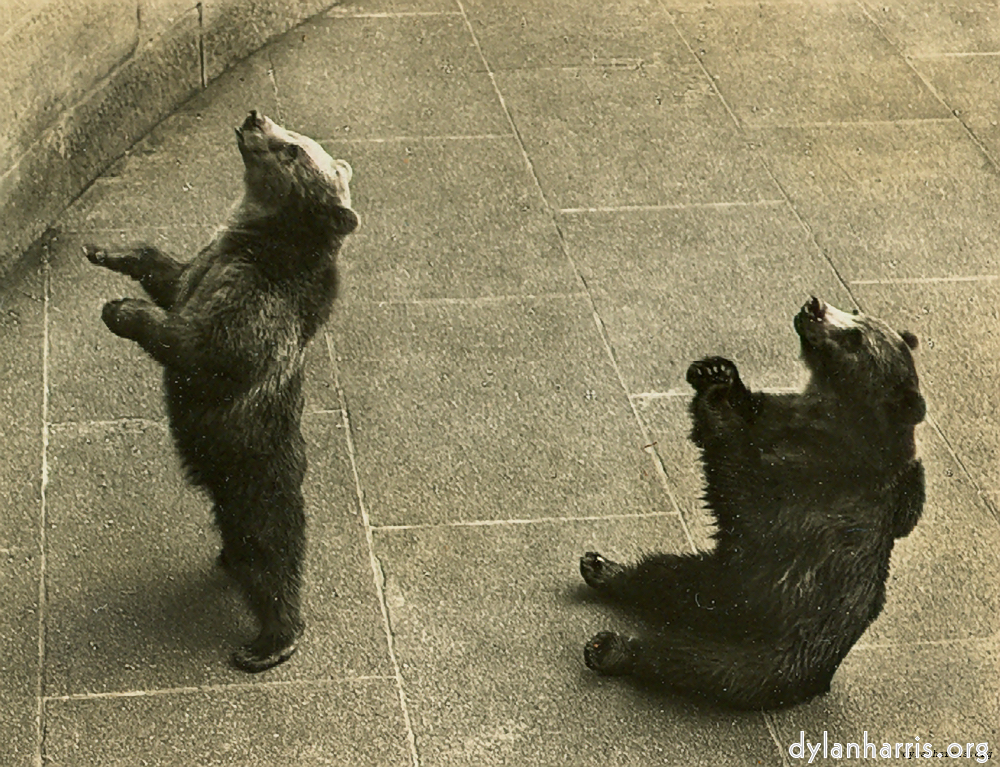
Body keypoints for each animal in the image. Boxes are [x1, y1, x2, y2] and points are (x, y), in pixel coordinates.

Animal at [84, 110, 359, 672]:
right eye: (292, 132)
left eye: (294, 149)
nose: (255, 117)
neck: (253, 238)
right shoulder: (204, 264)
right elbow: (166, 272)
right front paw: (107, 249)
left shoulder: (255, 303)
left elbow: (204, 350)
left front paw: (121, 310)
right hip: (225, 487)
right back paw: (226, 558)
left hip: (257, 477)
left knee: (274, 555)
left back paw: (269, 641)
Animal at [580, 296, 925, 709]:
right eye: (856, 312)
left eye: (855, 338)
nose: (814, 306)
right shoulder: (783, 416)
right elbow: (751, 411)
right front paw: (716, 371)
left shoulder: (814, 483)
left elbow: (741, 489)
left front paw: (716, 400)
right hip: (713, 574)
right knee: (662, 574)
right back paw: (603, 568)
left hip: (769, 647)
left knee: (692, 663)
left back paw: (611, 648)